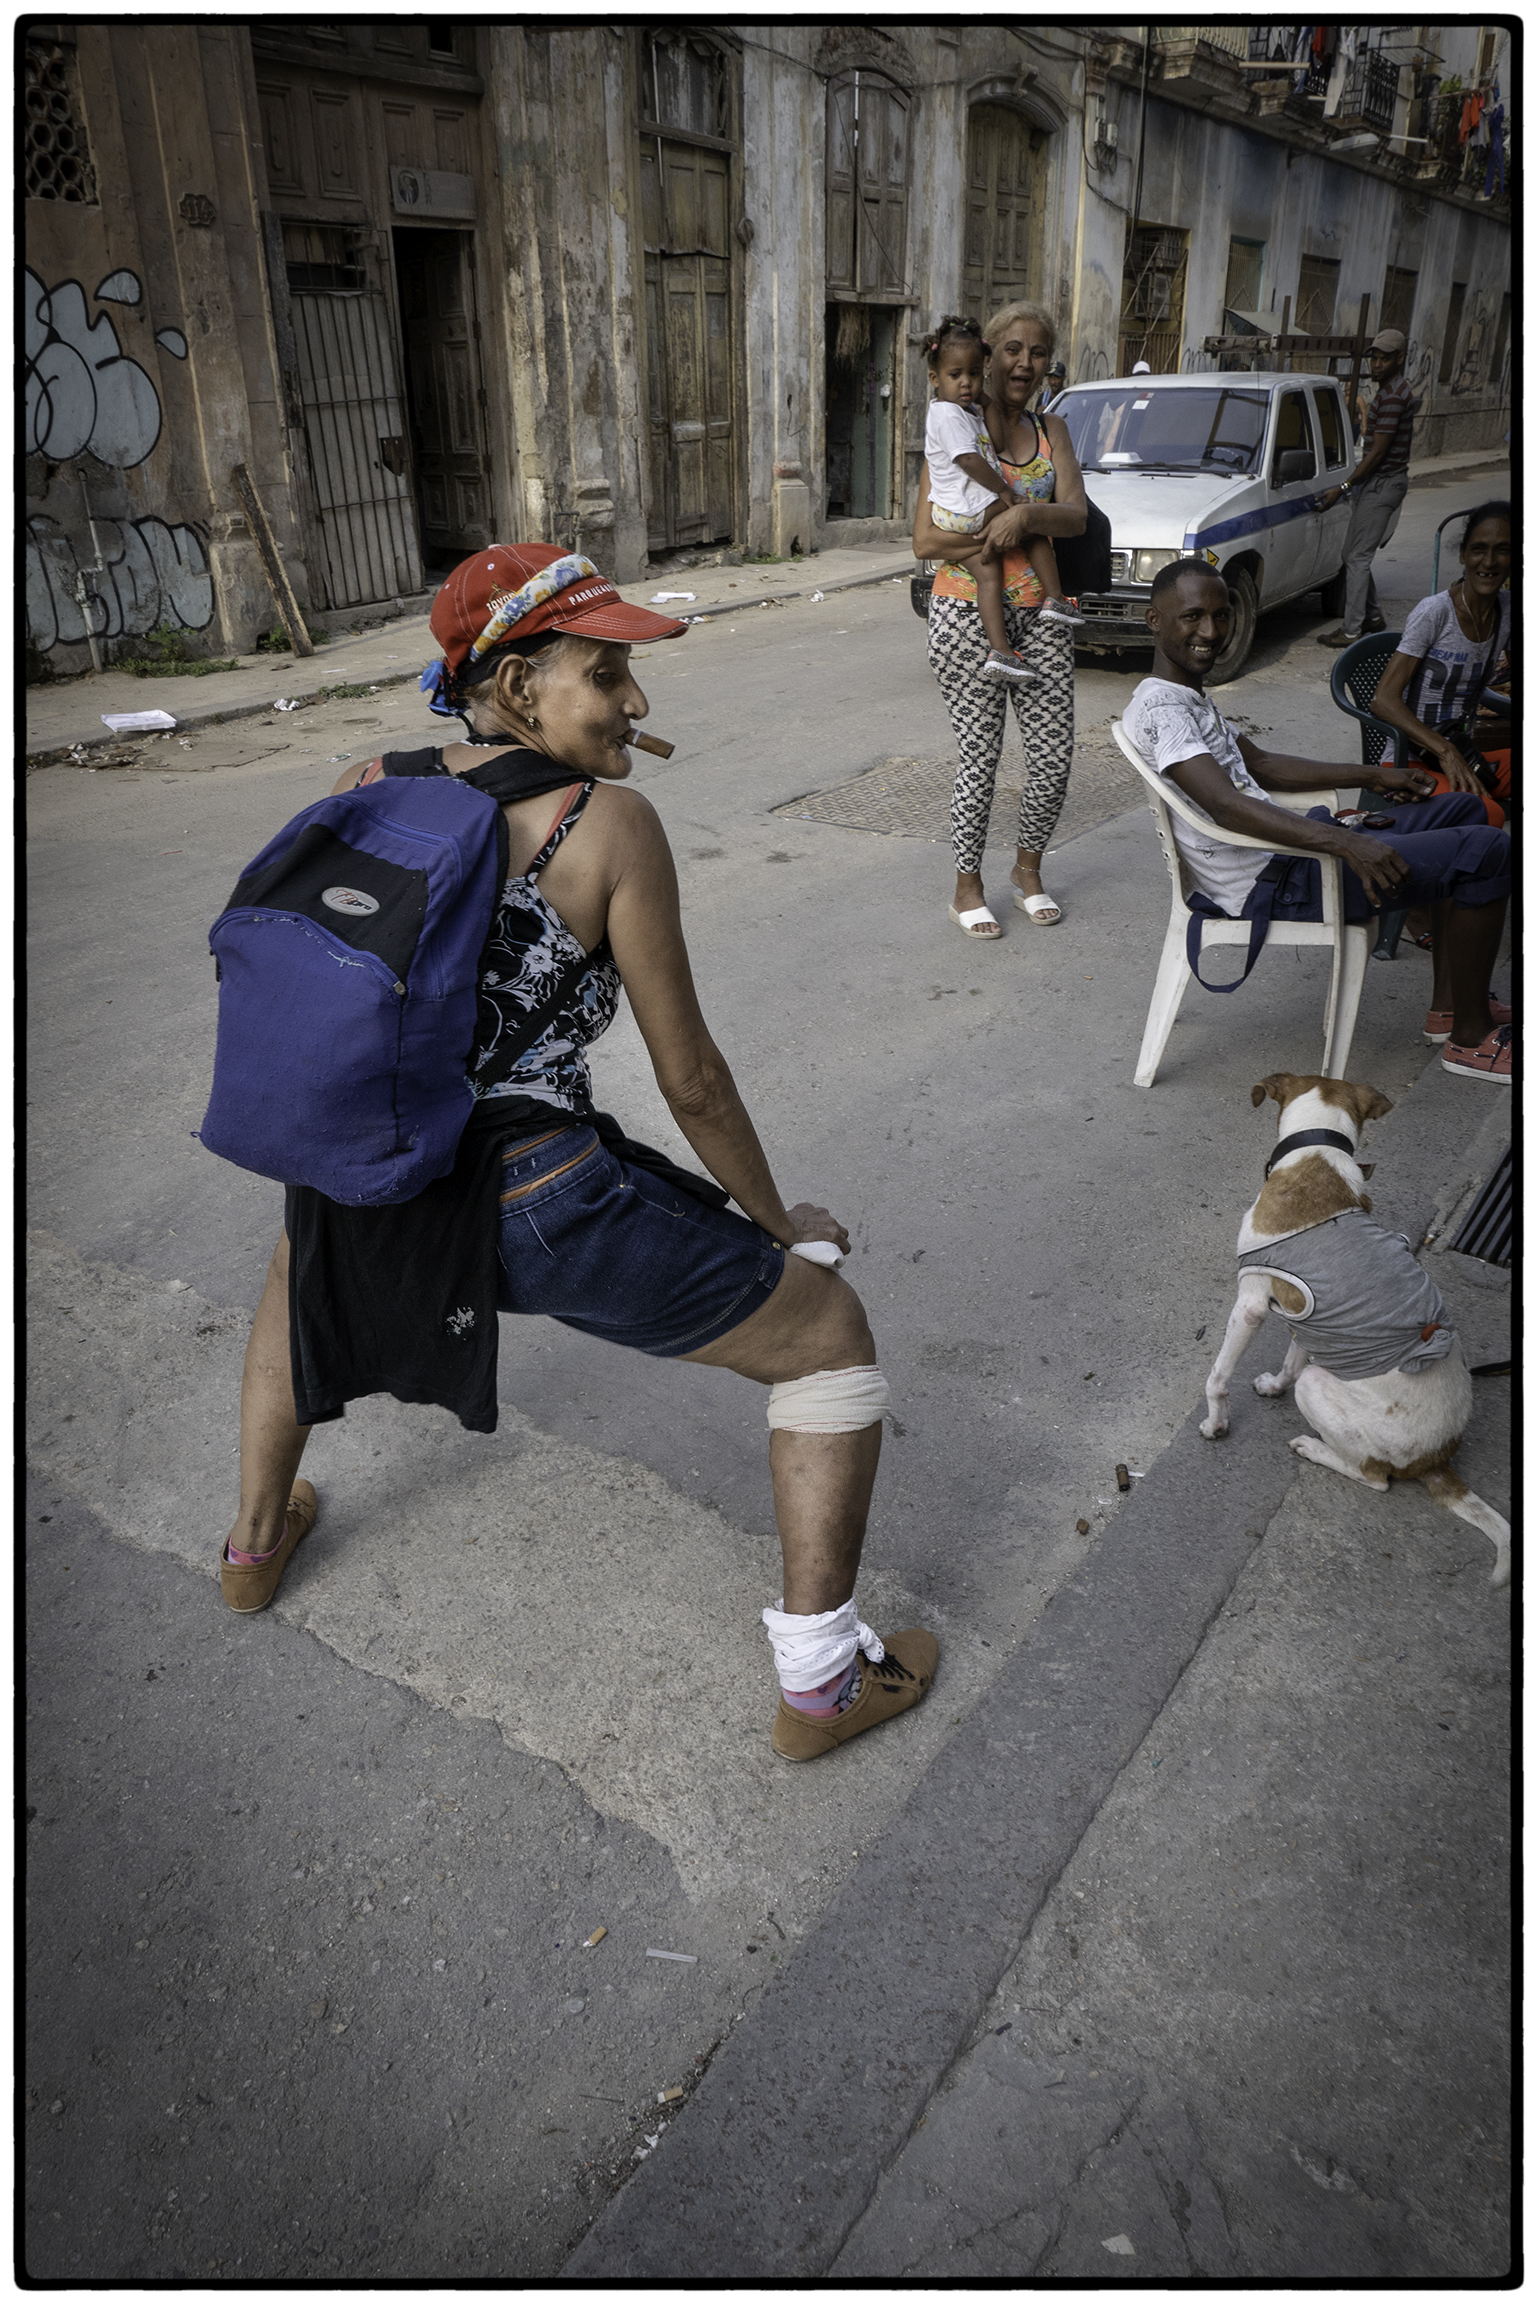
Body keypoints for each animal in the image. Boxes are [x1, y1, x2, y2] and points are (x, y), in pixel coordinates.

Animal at [1198, 1078, 1511, 1585]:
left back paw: (1313, 1447)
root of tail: (1439, 1459)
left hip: (1323, 1392)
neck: (1317, 1152)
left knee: (1375, 1478)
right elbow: (1291, 1361)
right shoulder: (1310, 1322)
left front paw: (1216, 1424)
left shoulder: (1250, 1304)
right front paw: (1273, 1386)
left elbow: (1217, 1378)